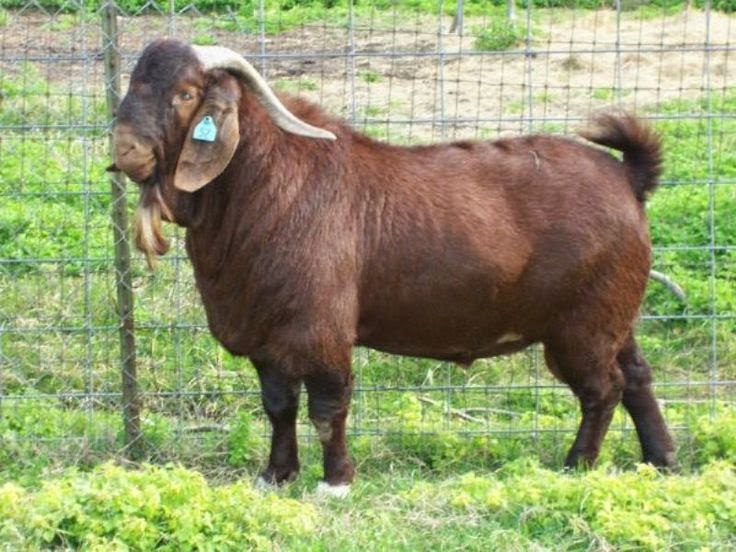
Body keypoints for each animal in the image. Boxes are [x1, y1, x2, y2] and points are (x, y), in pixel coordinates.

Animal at [111, 39, 675, 495]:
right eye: (133, 83)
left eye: (186, 94)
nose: (124, 150)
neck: (267, 182)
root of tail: (628, 177)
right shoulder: (267, 335)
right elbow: (278, 406)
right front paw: (276, 476)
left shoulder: (321, 328)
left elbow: (327, 407)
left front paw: (336, 482)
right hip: (614, 315)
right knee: (638, 376)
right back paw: (662, 460)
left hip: (581, 326)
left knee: (603, 388)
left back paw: (577, 464)